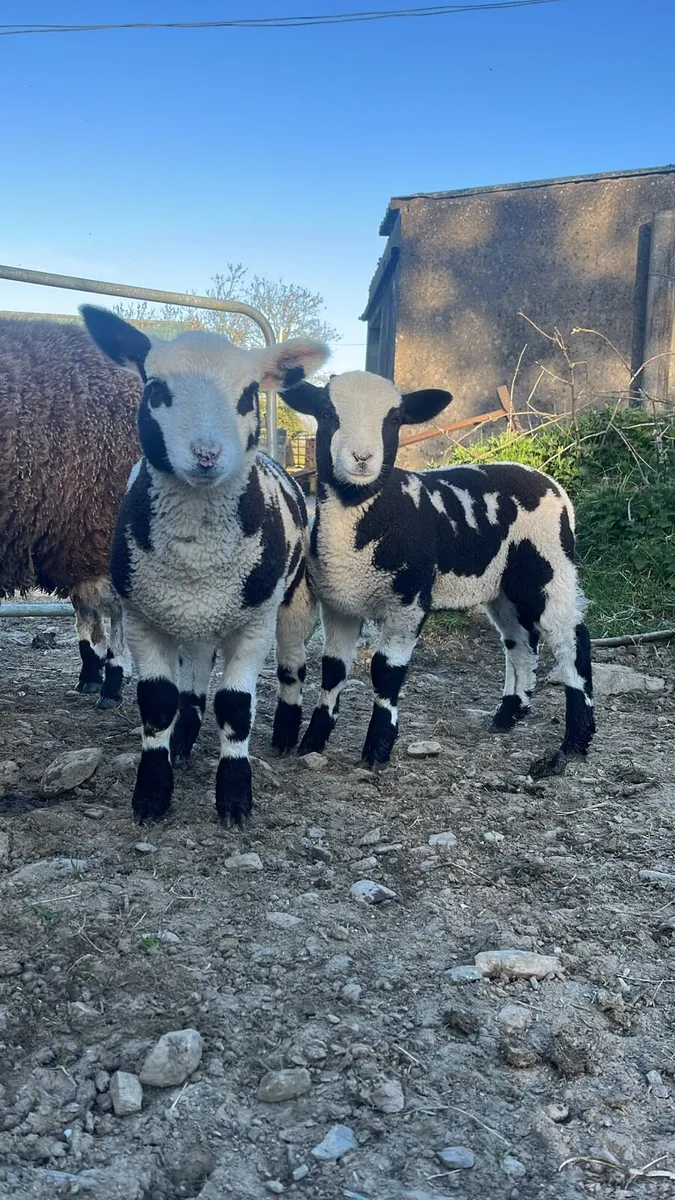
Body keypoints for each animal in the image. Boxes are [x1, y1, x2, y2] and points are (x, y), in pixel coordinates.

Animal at [0, 316, 141, 706]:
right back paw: (91, 674)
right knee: (87, 610)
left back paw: (111, 684)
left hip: (100, 527)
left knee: (111, 610)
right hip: (72, 537)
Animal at [81, 305, 329, 827]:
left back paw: (286, 736)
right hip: (193, 616)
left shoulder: (253, 622)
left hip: (292, 597)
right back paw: (183, 740)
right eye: (155, 389)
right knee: (193, 681)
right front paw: (152, 791)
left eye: (250, 394)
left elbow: (235, 706)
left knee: (292, 665)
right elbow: (158, 702)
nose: (207, 455)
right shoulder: (143, 616)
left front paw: (235, 797)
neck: (196, 552)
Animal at [280, 370, 596, 778]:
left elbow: (385, 671)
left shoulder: (410, 599)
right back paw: (507, 716)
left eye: (395, 420)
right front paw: (312, 742)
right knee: (521, 642)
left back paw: (575, 742)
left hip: (550, 566)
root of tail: (549, 483)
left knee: (571, 638)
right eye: (326, 413)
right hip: (502, 587)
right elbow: (333, 669)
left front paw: (377, 750)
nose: (362, 458)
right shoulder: (338, 603)